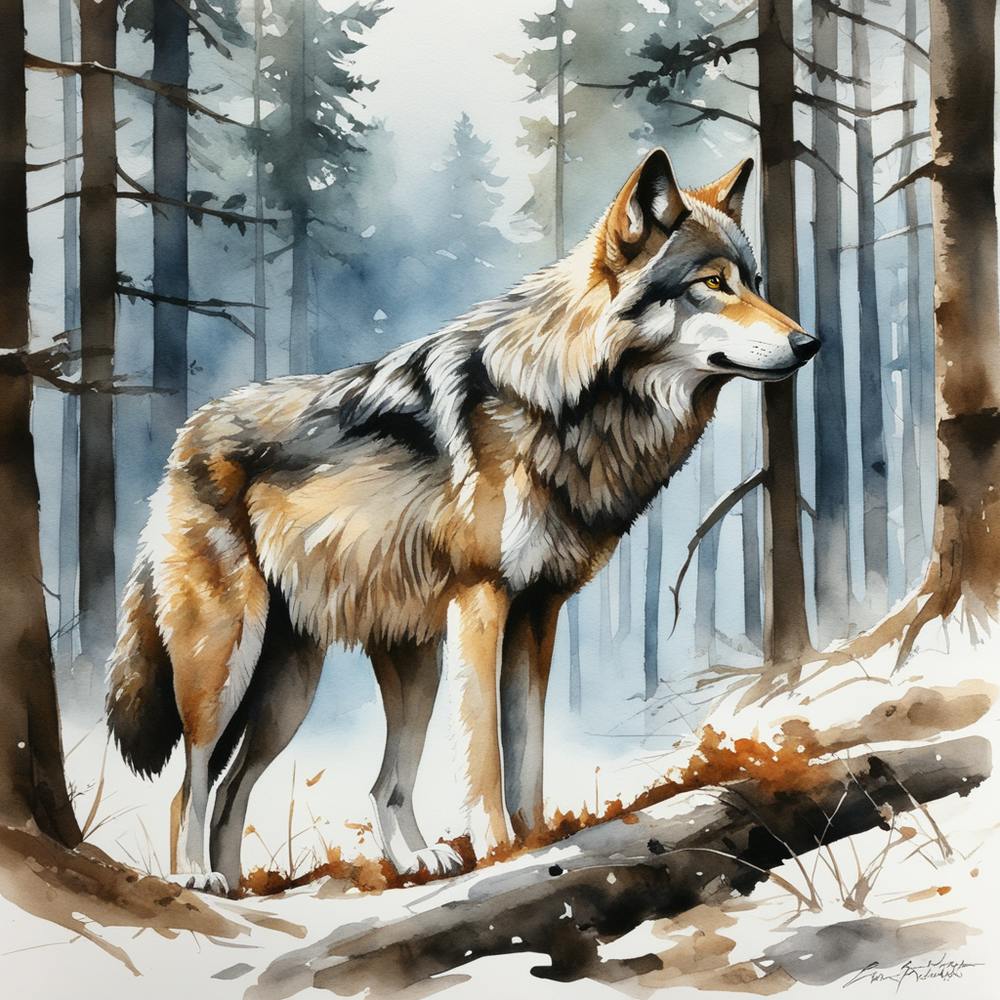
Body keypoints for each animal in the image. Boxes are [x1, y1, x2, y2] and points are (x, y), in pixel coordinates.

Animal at [106, 148, 818, 893]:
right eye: (712, 284)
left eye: (755, 283)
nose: (810, 342)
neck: (565, 402)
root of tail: (185, 437)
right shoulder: (483, 600)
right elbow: (484, 756)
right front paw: (502, 852)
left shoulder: (539, 611)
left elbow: (527, 752)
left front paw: (540, 845)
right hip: (227, 662)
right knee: (192, 782)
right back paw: (199, 879)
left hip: (337, 676)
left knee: (292, 787)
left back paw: (375, 866)